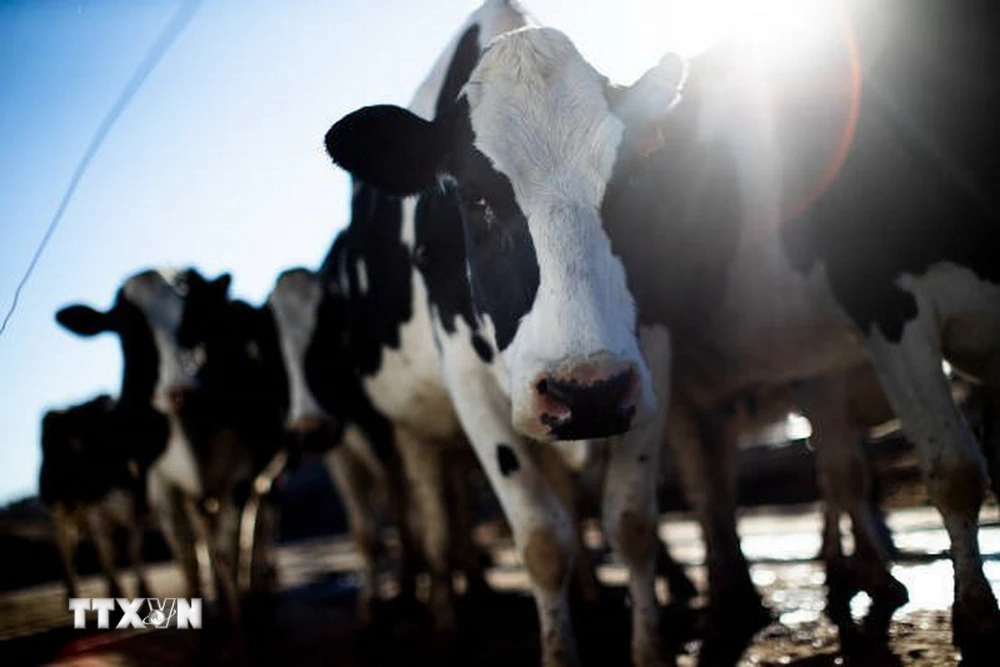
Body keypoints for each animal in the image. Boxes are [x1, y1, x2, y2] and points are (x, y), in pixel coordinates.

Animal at [37, 394, 168, 604]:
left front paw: (143, 589)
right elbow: (107, 550)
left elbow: (132, 547)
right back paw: (72, 590)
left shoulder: (133, 507)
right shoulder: (95, 512)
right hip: (58, 510)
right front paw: (116, 592)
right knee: (66, 547)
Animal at [324, 2, 996, 664]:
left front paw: (648, 646)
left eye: (631, 183)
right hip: (413, 429)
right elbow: (541, 539)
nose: (583, 393)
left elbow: (632, 522)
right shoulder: (469, 383)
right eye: (474, 197)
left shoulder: (648, 357)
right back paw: (445, 620)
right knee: (437, 525)